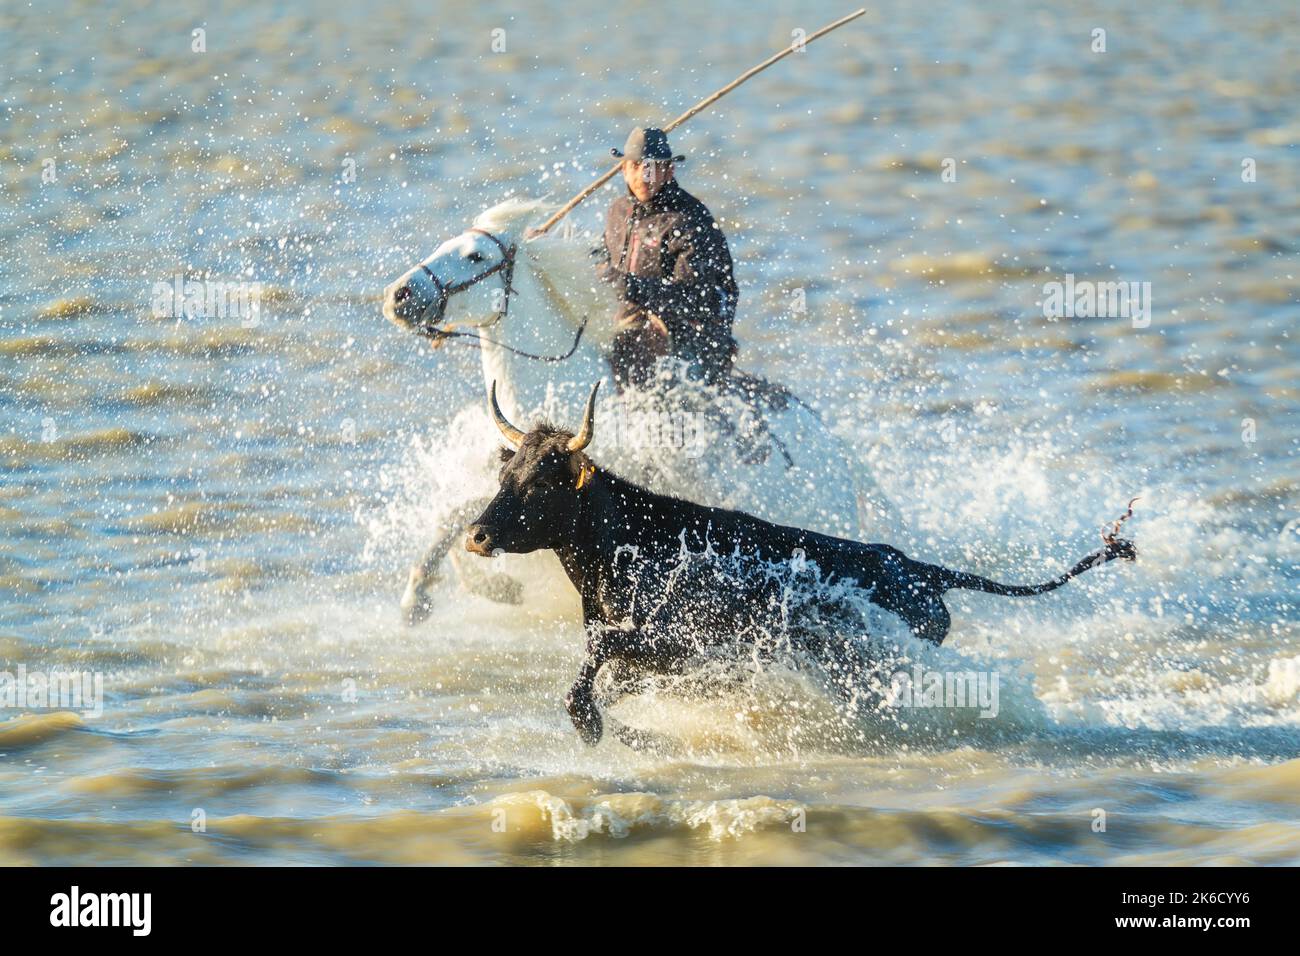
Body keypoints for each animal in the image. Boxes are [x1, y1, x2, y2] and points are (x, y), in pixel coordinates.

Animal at [379, 197, 899, 624]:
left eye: (475, 256)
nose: (399, 295)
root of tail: (840, 458)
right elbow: (457, 513)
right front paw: (457, 588)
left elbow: (459, 510)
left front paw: (437, 594)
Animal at [465, 382, 1128, 749]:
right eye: (505, 473)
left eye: (542, 481)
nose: (476, 535)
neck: (631, 541)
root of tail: (916, 567)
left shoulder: (675, 644)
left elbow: (598, 658)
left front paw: (592, 725)